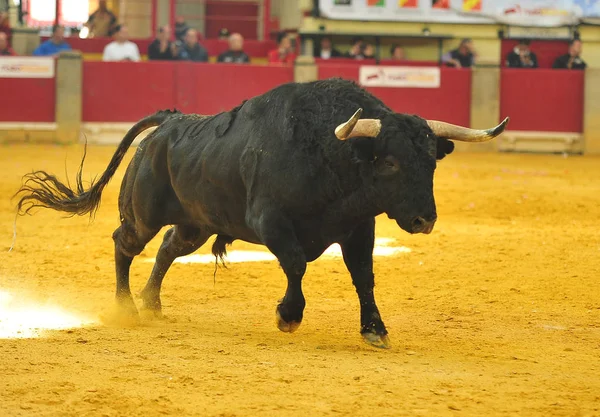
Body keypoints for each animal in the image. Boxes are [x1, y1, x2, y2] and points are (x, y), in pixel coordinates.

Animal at [15, 78, 506, 348]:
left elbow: (364, 276)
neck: (329, 152)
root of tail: (170, 121)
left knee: (168, 249)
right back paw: (127, 309)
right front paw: (287, 316)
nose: (425, 220)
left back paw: (152, 304)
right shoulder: (269, 221)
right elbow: (296, 264)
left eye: (431, 162)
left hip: (195, 223)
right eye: (389, 162)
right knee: (126, 243)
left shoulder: (357, 227)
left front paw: (375, 329)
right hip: (144, 214)